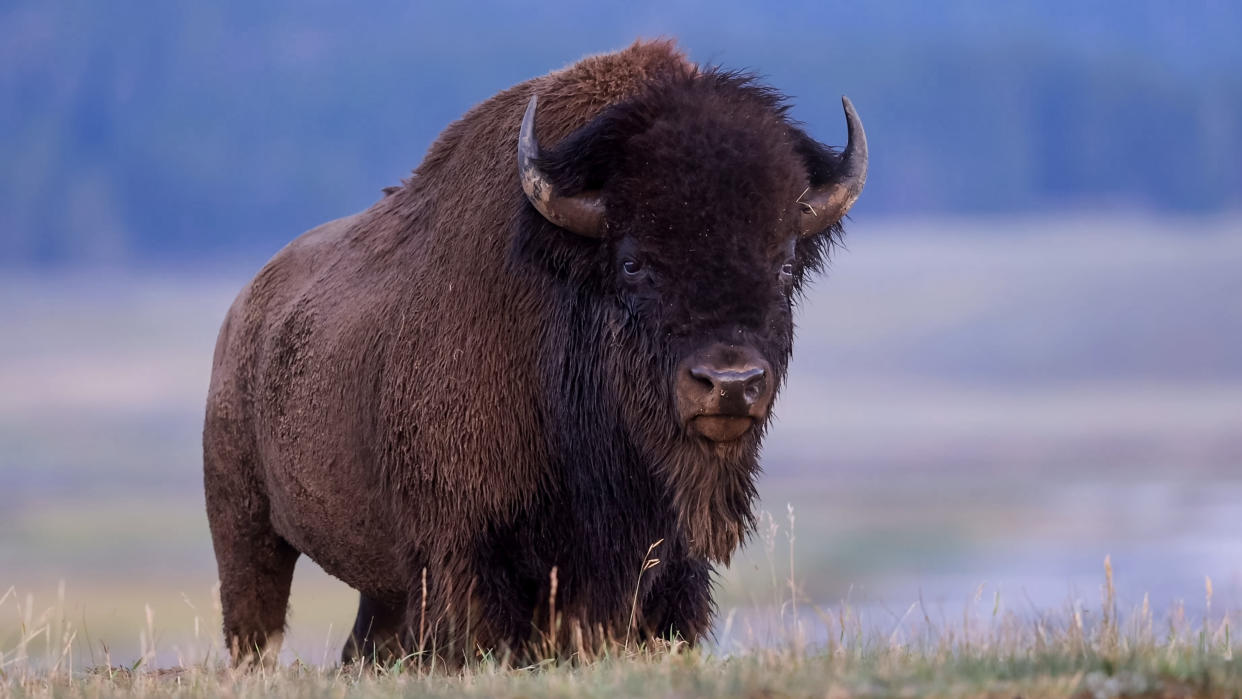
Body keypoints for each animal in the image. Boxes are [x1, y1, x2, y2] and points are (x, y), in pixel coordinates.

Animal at [203, 36, 864, 665]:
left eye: (785, 265)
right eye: (632, 263)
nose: (729, 384)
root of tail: (242, 313)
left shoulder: (668, 568)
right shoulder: (467, 556)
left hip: (377, 587)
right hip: (245, 530)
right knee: (254, 625)